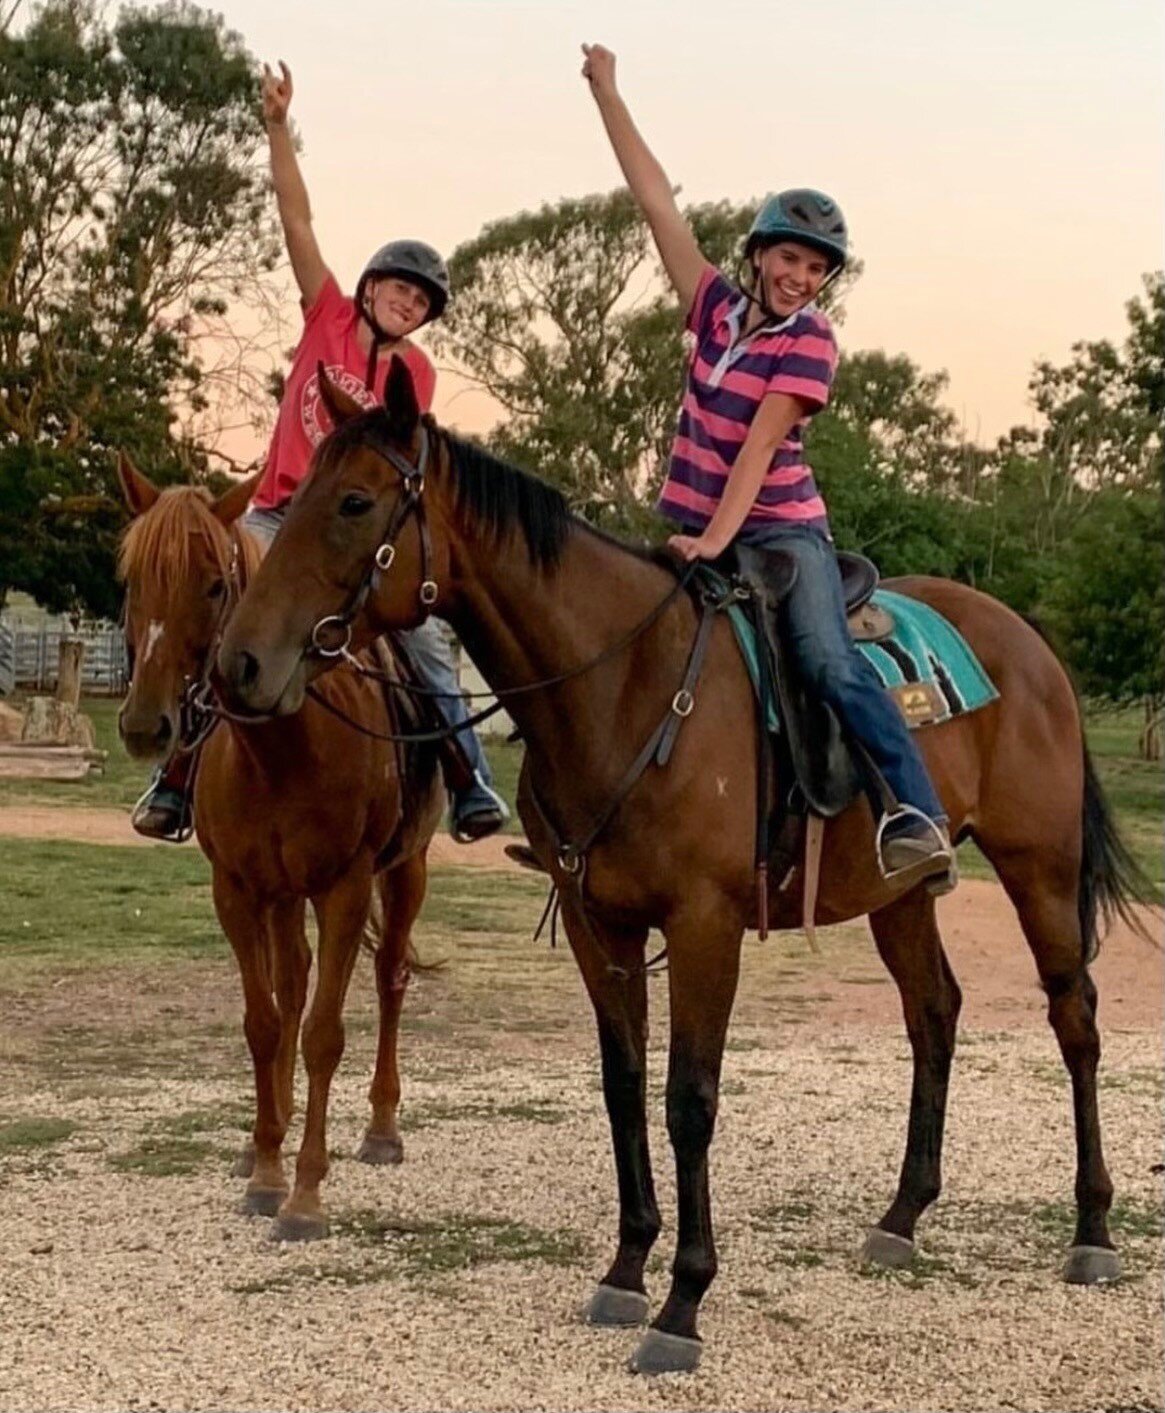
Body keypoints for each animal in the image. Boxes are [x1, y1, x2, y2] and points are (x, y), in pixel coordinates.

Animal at [115, 457, 441, 1243]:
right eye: (132, 578)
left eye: (213, 583)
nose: (145, 724)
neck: (279, 750)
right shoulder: (237, 888)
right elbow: (265, 1022)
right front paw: (265, 1166)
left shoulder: (347, 886)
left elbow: (324, 1032)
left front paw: (304, 1194)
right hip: (283, 893)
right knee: (291, 983)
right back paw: (273, 1125)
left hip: (404, 872)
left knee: (389, 978)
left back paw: (381, 1128)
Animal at [213, 364, 1153, 1367]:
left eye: (354, 502)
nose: (242, 663)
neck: (626, 687)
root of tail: (1026, 643)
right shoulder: (601, 924)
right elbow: (624, 1086)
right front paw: (627, 1270)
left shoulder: (705, 927)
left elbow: (689, 1098)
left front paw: (682, 1303)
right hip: (898, 892)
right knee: (933, 1012)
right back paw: (900, 1217)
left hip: (1038, 867)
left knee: (1073, 1020)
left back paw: (1092, 1231)